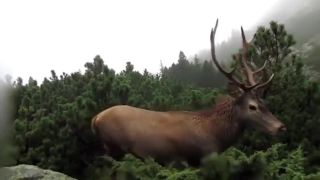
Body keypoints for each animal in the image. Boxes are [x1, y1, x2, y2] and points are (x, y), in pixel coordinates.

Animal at [91, 19, 286, 166]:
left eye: (264, 103)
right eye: (252, 107)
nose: (280, 127)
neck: (215, 134)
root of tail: (95, 119)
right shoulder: (199, 157)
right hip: (114, 148)